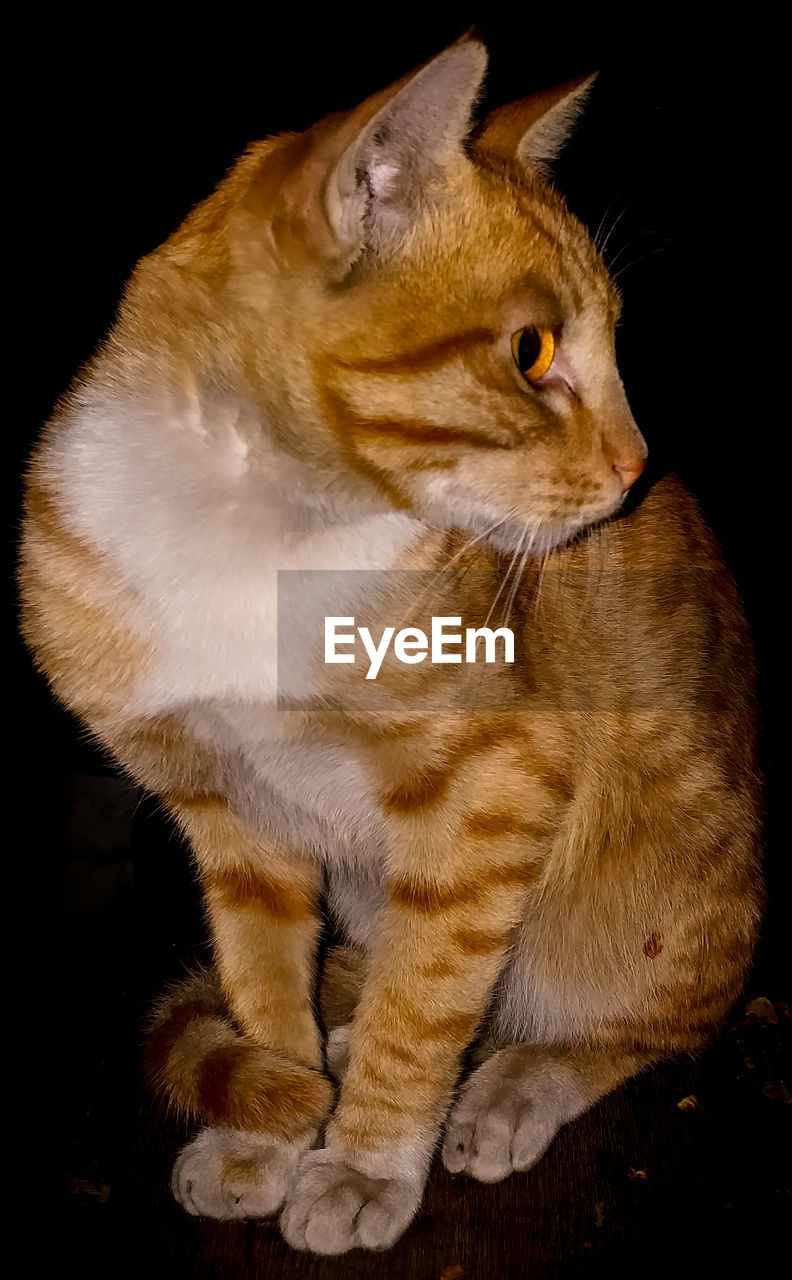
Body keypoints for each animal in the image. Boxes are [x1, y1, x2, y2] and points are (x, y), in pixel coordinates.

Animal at [18, 35, 762, 1254]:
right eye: (532, 352)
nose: (634, 464)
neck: (253, 533)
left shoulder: (489, 799)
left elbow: (425, 1006)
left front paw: (365, 1160)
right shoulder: (229, 816)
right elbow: (262, 982)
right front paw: (270, 1124)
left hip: (632, 911)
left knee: (635, 1021)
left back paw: (517, 1080)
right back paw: (345, 1021)